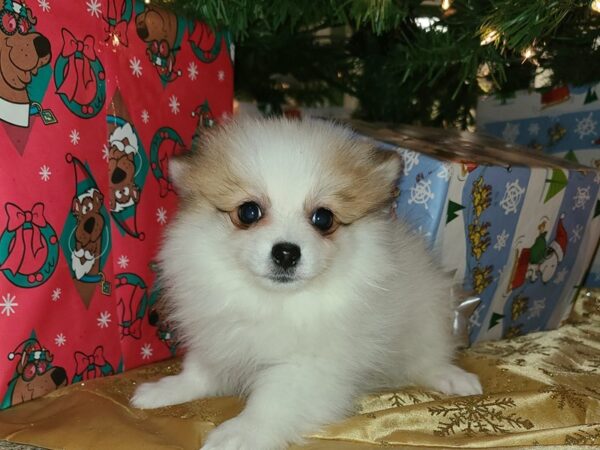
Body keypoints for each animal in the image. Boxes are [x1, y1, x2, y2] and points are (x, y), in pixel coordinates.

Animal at [131, 118, 482, 448]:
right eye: (248, 211)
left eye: (323, 218)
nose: (286, 252)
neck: (270, 302)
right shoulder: (219, 338)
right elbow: (198, 372)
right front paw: (165, 389)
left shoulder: (306, 369)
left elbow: (271, 403)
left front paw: (240, 433)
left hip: (425, 320)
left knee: (430, 358)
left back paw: (456, 379)